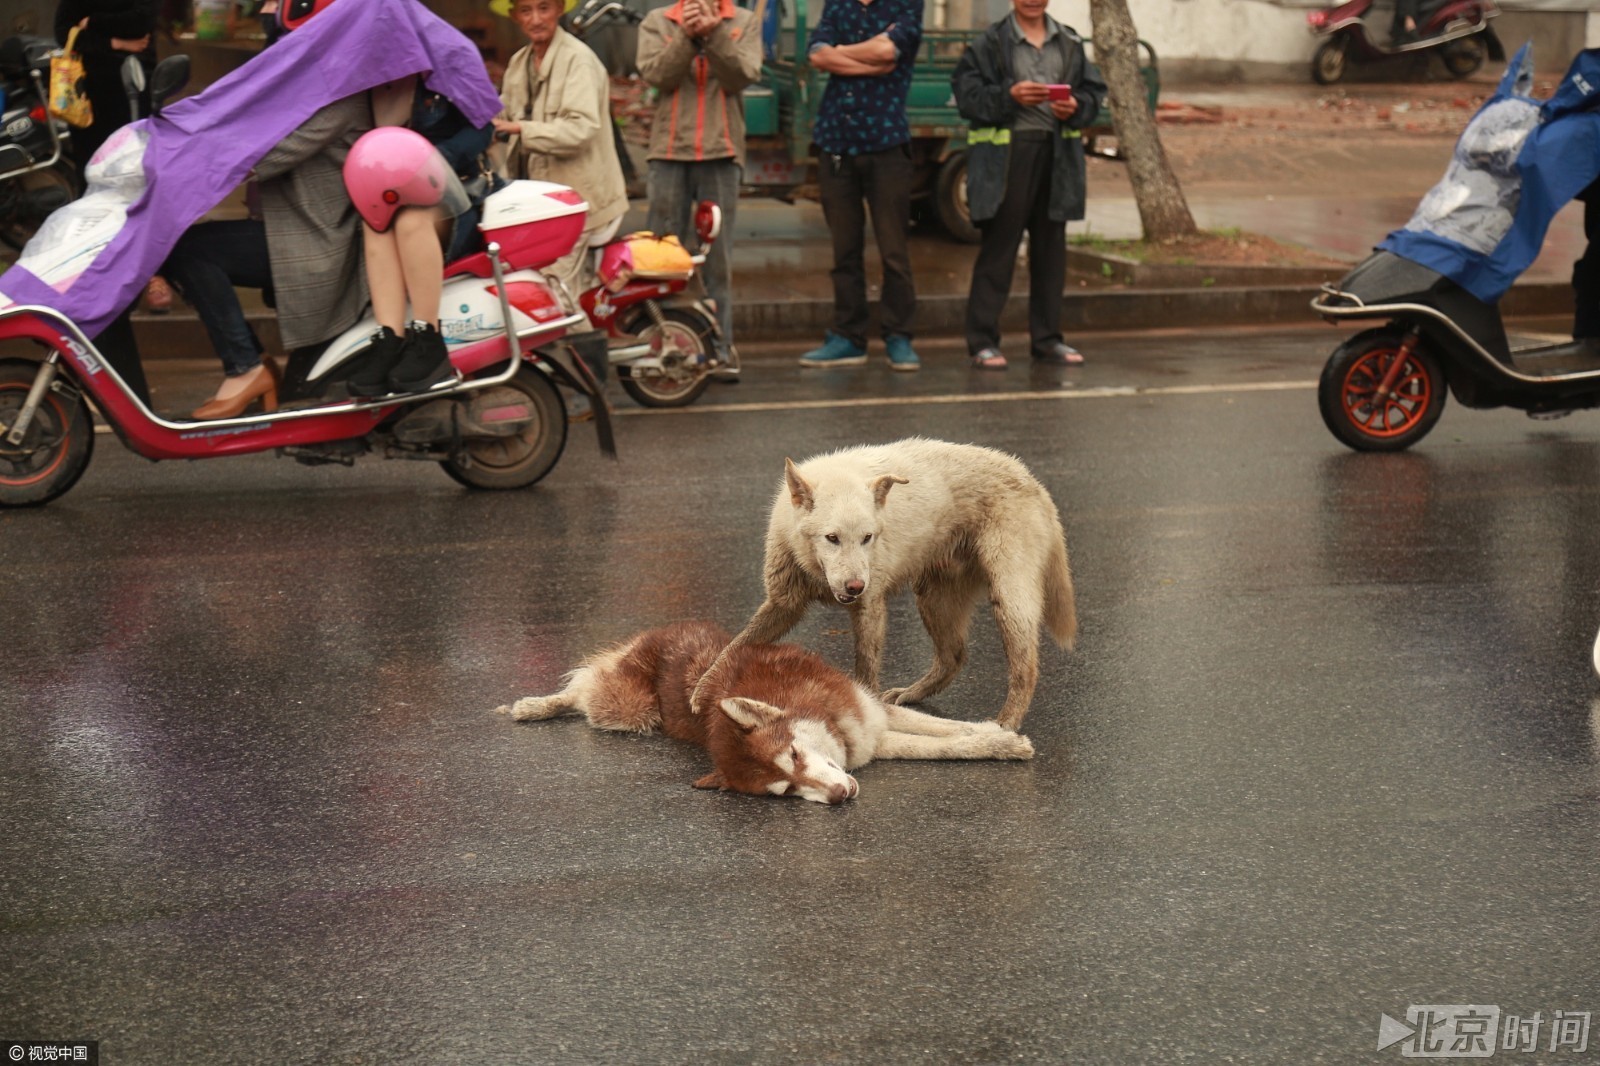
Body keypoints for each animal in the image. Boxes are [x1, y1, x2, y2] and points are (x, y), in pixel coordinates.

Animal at [691, 435, 1075, 726]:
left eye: (867, 538)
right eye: (832, 538)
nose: (854, 586)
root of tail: (1032, 480)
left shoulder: (869, 606)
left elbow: (865, 670)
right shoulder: (783, 605)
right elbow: (734, 646)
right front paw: (704, 688)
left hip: (1008, 599)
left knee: (1026, 669)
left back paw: (1005, 723)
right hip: (933, 598)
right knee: (954, 657)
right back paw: (911, 694)